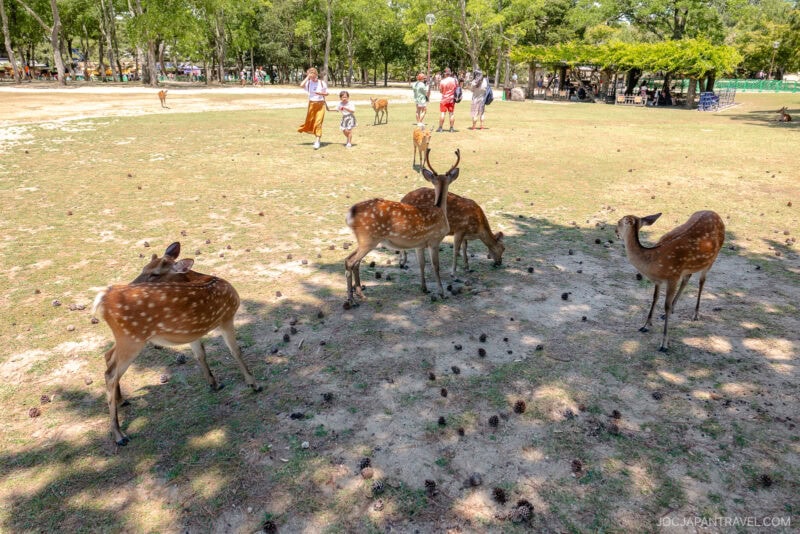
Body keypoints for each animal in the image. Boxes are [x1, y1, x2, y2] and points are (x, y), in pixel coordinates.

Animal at [93, 242, 261, 445]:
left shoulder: (192, 331)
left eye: (154, 273)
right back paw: (119, 435)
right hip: (131, 338)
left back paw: (121, 401)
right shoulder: (227, 317)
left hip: (126, 338)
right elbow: (236, 351)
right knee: (110, 373)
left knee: (108, 357)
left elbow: (200, 354)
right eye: (143, 268)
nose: (132, 283)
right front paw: (254, 384)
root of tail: (102, 300)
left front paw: (214, 384)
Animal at [344, 148, 460, 306]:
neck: (440, 210)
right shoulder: (434, 240)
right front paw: (441, 293)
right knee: (351, 262)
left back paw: (360, 295)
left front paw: (424, 288)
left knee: (351, 261)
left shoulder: (419, 244)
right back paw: (351, 299)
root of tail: (350, 214)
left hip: (363, 239)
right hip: (368, 238)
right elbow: (436, 266)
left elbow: (422, 264)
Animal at [615, 211, 725, 352]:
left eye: (619, 222)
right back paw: (672, 310)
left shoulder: (673, 276)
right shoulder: (659, 280)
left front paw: (664, 344)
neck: (653, 263)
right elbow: (655, 298)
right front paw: (646, 325)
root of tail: (715, 213)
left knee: (702, 281)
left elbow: (665, 306)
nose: (615, 231)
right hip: (689, 267)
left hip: (711, 259)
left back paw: (695, 314)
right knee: (687, 278)